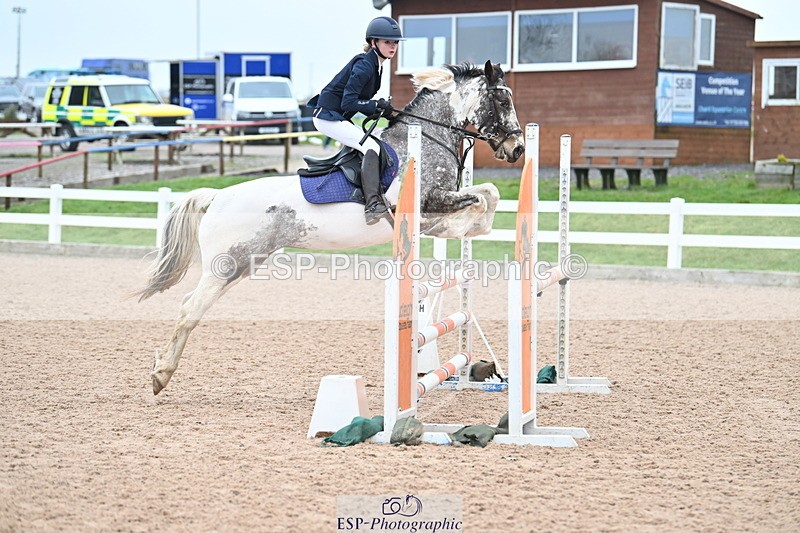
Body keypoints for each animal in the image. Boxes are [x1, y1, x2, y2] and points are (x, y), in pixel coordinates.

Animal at [137, 60, 525, 395]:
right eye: (501, 99)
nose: (517, 148)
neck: (427, 140)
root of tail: (217, 196)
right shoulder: (429, 203)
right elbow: (486, 196)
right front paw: (481, 226)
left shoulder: (434, 218)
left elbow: (486, 196)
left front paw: (476, 231)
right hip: (227, 265)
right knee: (189, 310)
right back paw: (161, 375)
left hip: (242, 265)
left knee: (191, 304)